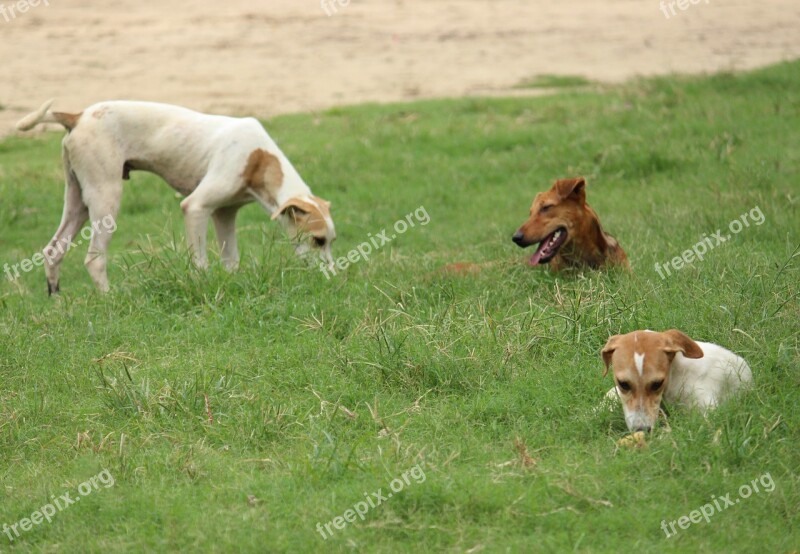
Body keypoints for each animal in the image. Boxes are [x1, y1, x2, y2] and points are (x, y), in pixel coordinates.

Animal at [16, 98, 334, 294]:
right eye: (317, 240)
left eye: (331, 241)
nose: (333, 279)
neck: (258, 158)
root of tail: (78, 116)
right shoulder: (195, 208)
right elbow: (200, 263)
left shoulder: (225, 214)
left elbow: (231, 262)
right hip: (105, 200)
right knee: (94, 259)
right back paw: (110, 299)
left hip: (78, 201)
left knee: (53, 252)